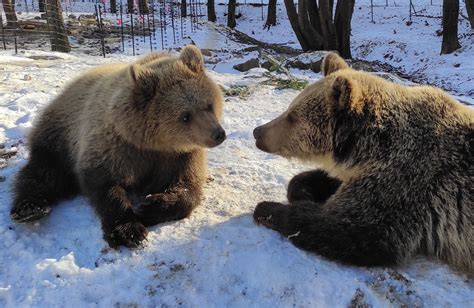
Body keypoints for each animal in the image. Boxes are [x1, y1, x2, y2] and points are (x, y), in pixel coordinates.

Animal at [10, 45, 226, 248]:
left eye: (208, 105)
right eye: (185, 116)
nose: (218, 134)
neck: (153, 143)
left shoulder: (181, 156)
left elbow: (188, 185)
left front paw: (152, 205)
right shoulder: (116, 147)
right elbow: (105, 183)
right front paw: (128, 230)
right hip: (60, 134)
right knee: (44, 172)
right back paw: (29, 208)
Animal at [254, 52, 472, 274]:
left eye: (292, 116)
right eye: (290, 107)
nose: (258, 132)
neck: (374, 146)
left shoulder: (409, 179)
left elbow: (356, 229)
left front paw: (267, 209)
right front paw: (304, 191)